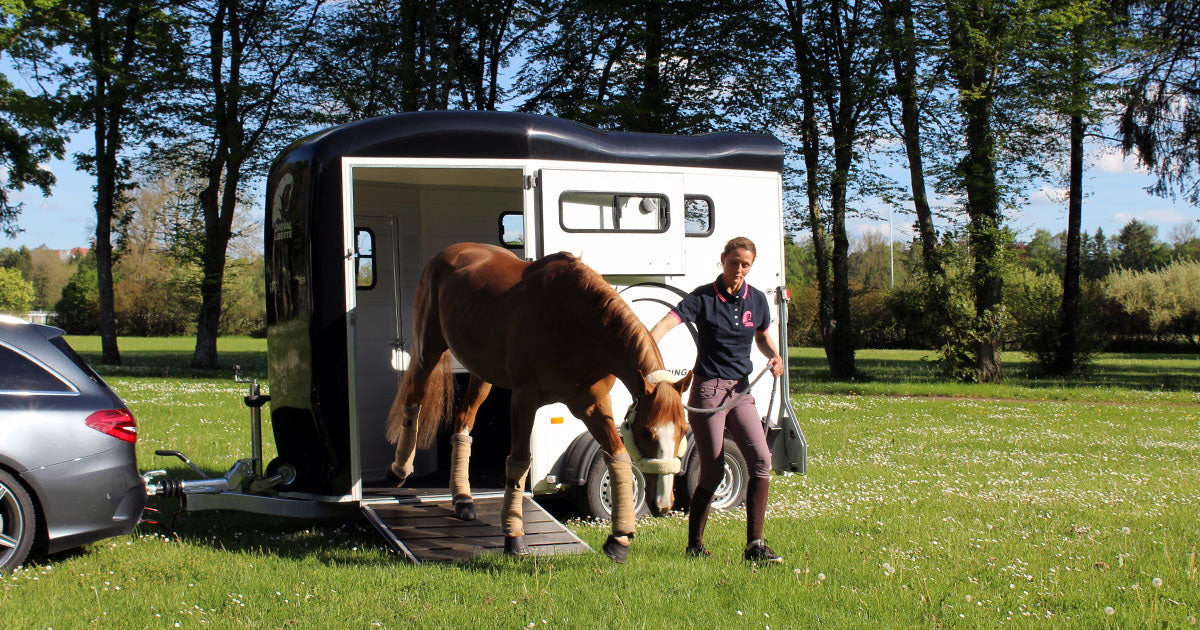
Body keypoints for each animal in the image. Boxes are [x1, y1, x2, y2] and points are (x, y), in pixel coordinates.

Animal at [385, 242, 692, 562]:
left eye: (684, 430)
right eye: (646, 431)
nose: (663, 503)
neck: (576, 322)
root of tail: (450, 252)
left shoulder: (593, 406)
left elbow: (617, 456)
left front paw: (619, 538)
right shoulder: (524, 399)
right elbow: (519, 461)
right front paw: (514, 535)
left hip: (482, 374)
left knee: (463, 420)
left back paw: (463, 498)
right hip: (428, 350)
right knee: (413, 400)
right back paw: (399, 471)